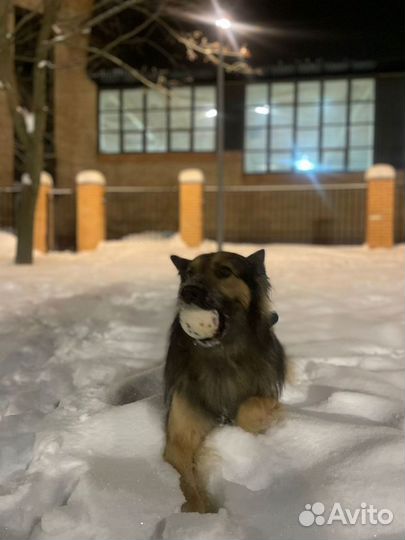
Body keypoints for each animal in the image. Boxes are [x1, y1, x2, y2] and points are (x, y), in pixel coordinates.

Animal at [163, 249, 286, 510]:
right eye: (189, 273)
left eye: (224, 272)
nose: (188, 291)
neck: (221, 356)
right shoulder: (179, 438)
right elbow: (186, 482)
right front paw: (199, 513)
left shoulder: (268, 397)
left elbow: (249, 409)